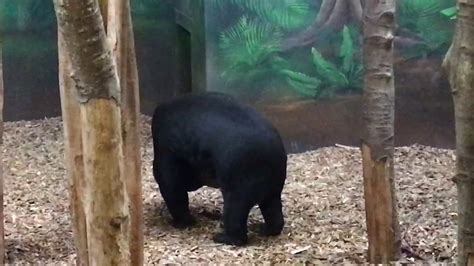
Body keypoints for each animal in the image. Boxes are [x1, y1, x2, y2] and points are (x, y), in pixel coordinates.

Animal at [152, 92, 286, 246]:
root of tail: (272, 154)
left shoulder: (167, 154)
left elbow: (173, 190)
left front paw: (182, 223)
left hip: (238, 191)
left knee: (235, 219)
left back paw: (223, 238)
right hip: (273, 190)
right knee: (275, 215)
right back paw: (263, 229)